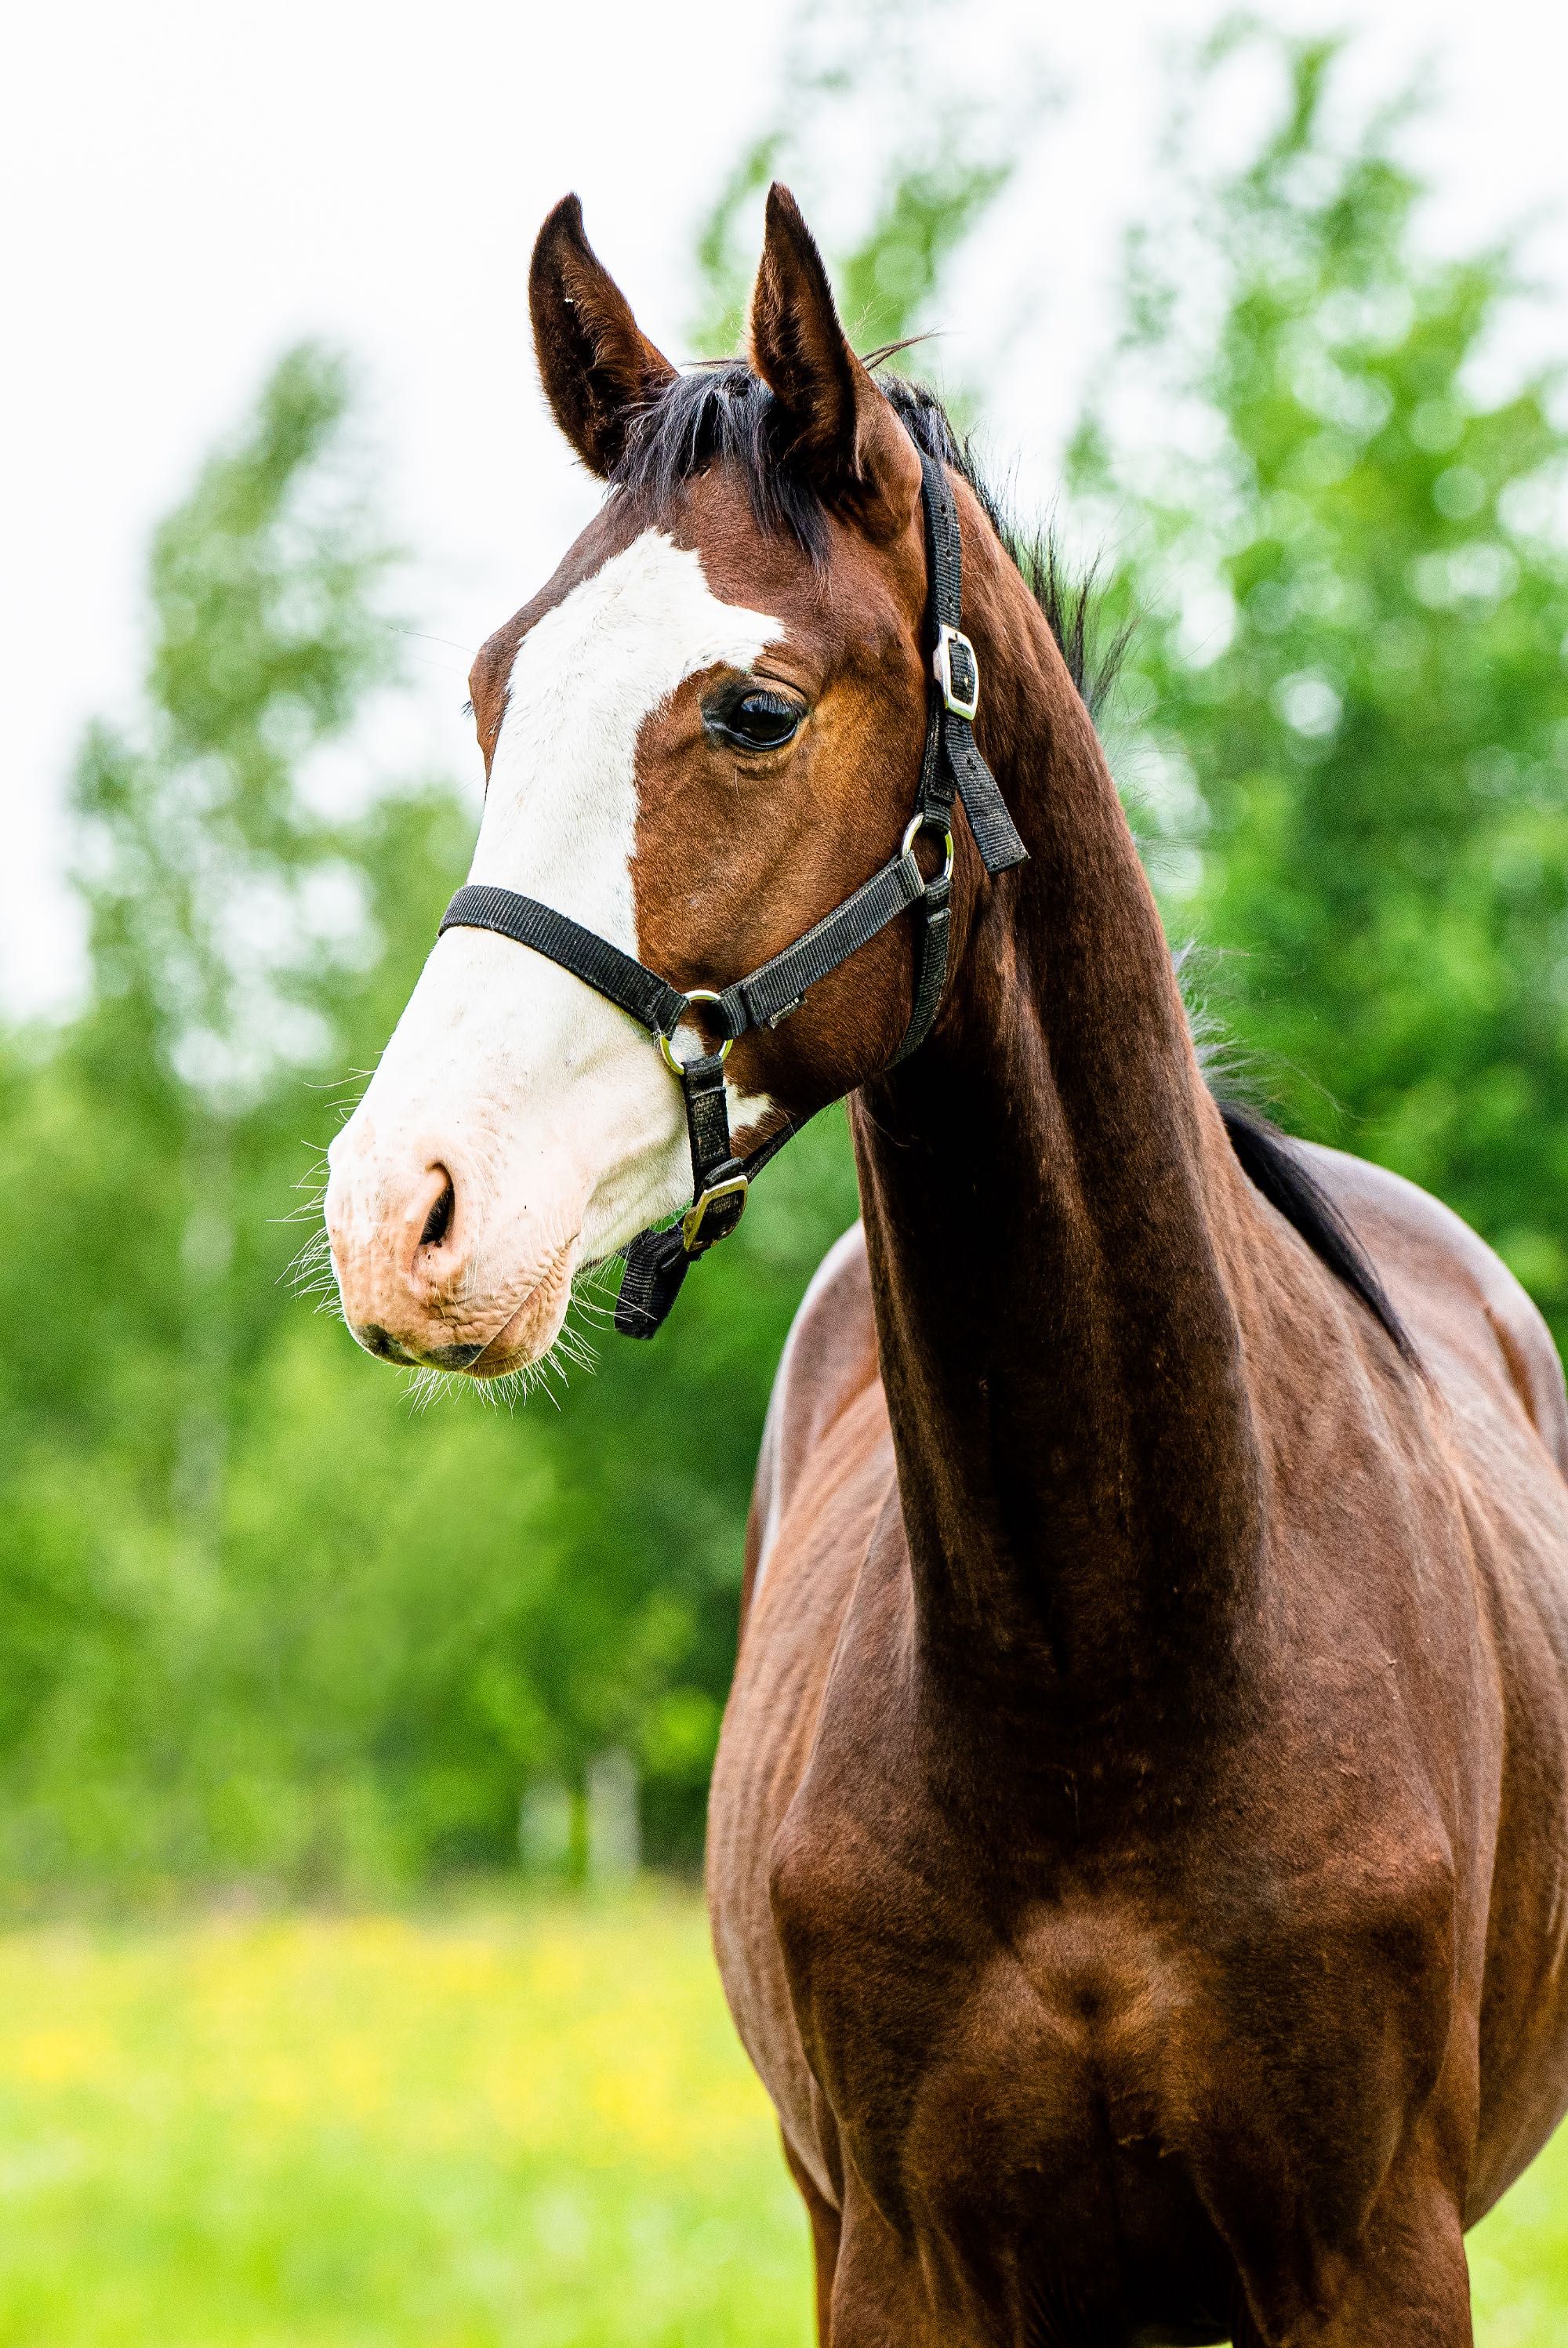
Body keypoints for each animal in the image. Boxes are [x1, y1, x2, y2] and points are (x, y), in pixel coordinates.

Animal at [324, 187, 1567, 2348]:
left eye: (748, 709)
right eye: (495, 695)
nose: (402, 1210)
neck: (1116, 1672)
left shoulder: (1376, 2255)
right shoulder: (901, 2257)